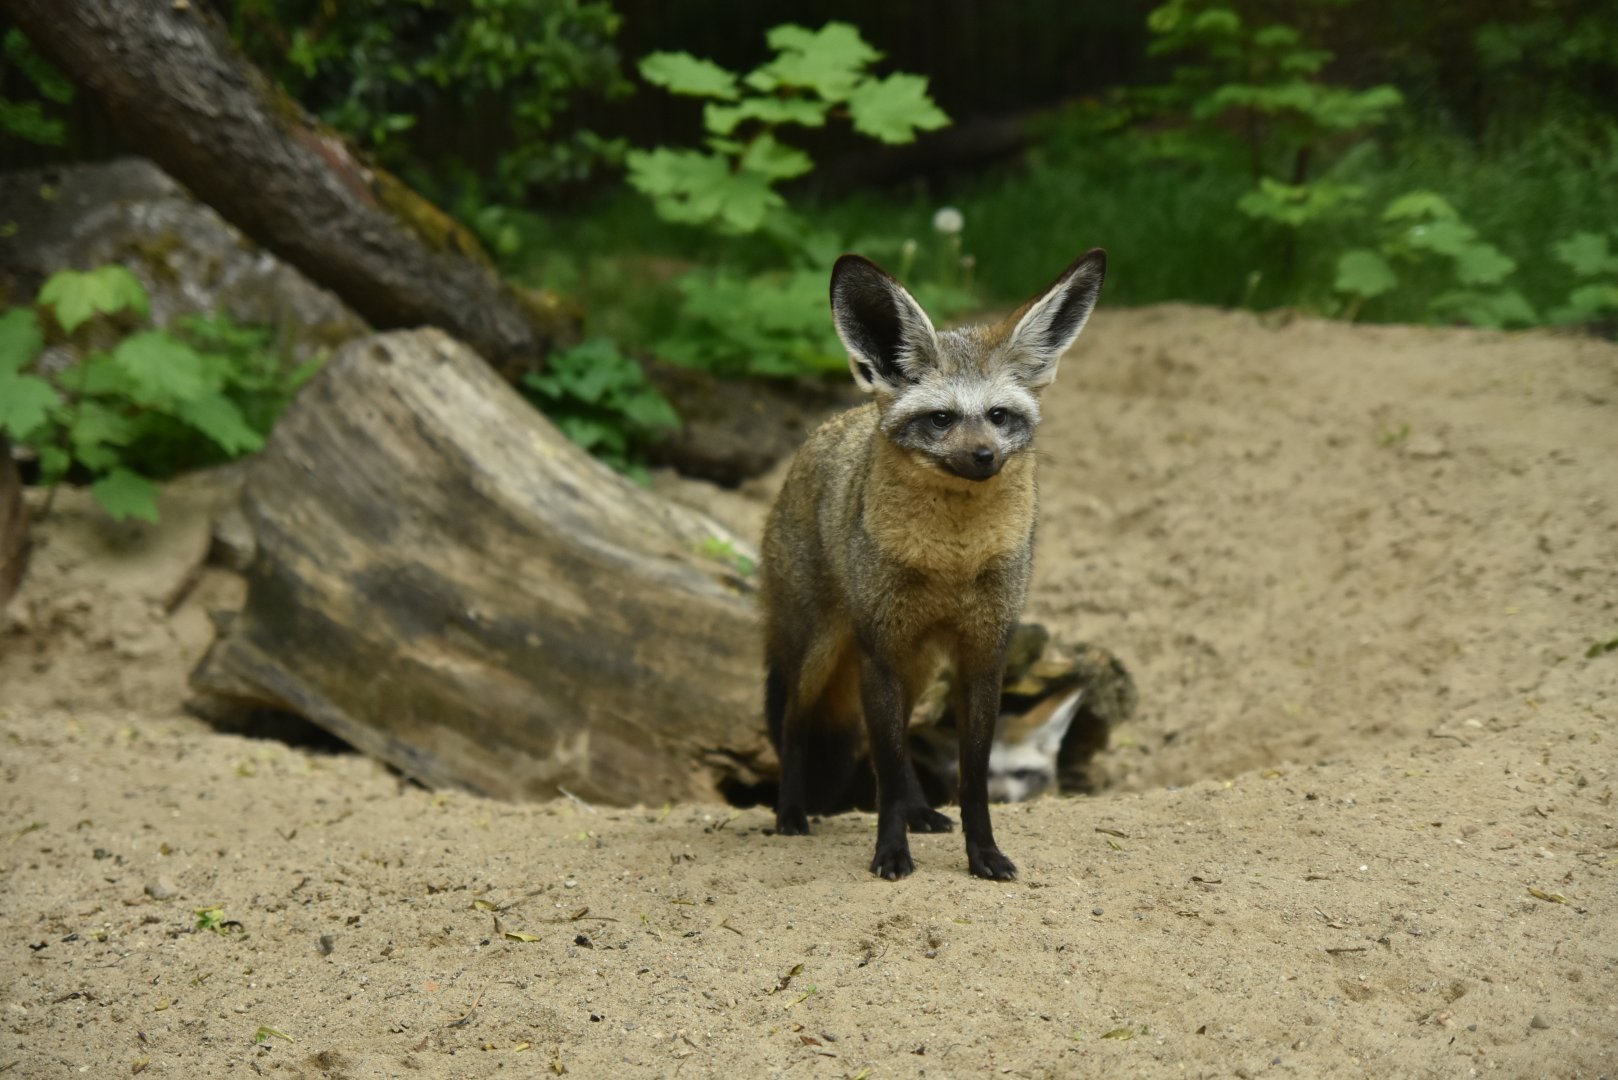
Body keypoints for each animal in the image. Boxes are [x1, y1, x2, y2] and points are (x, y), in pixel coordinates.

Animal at [760, 248, 1107, 880]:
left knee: (893, 746)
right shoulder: (879, 651)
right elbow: (888, 770)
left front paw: (983, 854)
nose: (984, 456)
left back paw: (921, 812)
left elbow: (969, 778)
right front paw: (891, 853)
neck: (952, 558)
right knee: (798, 727)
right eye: (943, 419)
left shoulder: (983, 652)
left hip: (917, 666)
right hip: (818, 653)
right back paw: (792, 813)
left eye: (998, 416)